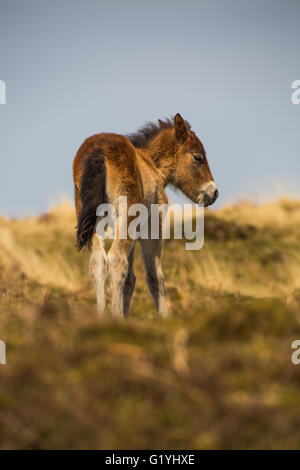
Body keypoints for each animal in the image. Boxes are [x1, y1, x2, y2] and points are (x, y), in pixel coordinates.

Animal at [72, 114, 218, 320]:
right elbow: (155, 276)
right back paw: (115, 317)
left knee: (98, 262)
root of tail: (100, 151)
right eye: (197, 157)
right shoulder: (152, 225)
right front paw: (164, 318)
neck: (152, 165)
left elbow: (129, 279)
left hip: (94, 219)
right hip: (128, 215)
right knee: (116, 259)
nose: (214, 193)